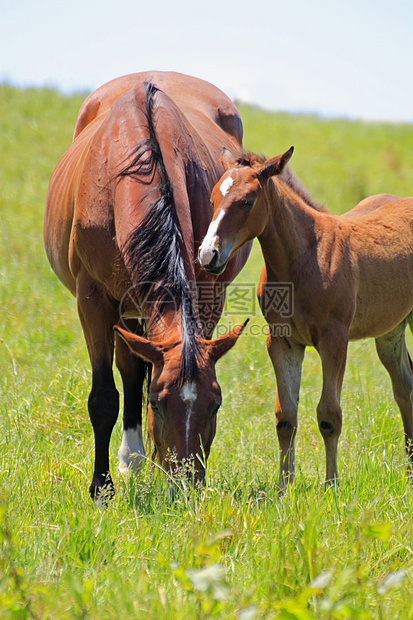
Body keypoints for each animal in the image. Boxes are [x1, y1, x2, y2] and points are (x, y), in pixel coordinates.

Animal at [45, 70, 251, 502]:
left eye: (216, 404)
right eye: (157, 403)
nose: (186, 486)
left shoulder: (207, 293)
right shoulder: (94, 300)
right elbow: (105, 396)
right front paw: (101, 488)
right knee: (128, 368)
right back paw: (130, 460)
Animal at [197, 148, 412, 492]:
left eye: (248, 201)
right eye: (214, 198)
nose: (208, 256)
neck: (304, 258)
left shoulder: (334, 341)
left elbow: (329, 415)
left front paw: (332, 485)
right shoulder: (282, 342)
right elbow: (285, 416)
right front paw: (284, 488)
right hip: (391, 330)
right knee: (405, 387)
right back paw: (408, 472)